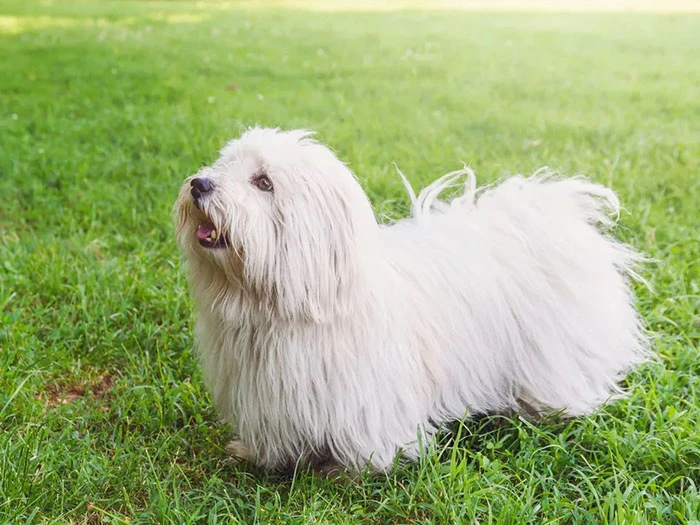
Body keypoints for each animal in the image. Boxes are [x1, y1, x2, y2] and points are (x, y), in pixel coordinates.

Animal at [175, 128, 652, 474]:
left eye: (263, 182)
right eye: (225, 165)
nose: (200, 184)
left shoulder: (364, 401)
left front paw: (348, 471)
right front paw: (258, 454)